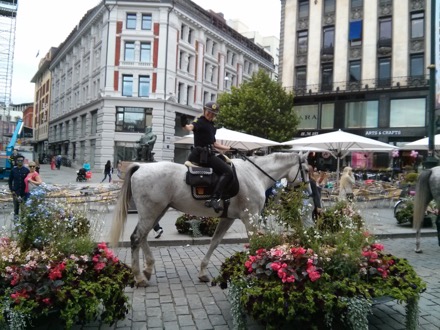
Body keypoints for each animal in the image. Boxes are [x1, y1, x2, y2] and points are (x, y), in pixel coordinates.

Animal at [110, 152, 310, 286]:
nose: (308, 191)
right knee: (137, 238)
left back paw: (148, 268)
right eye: (307, 169)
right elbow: (254, 243)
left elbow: (214, 242)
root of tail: (141, 166)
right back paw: (139, 276)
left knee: (142, 237)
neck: (255, 174)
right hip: (151, 211)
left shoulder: (228, 218)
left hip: (157, 211)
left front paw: (203, 272)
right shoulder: (250, 217)